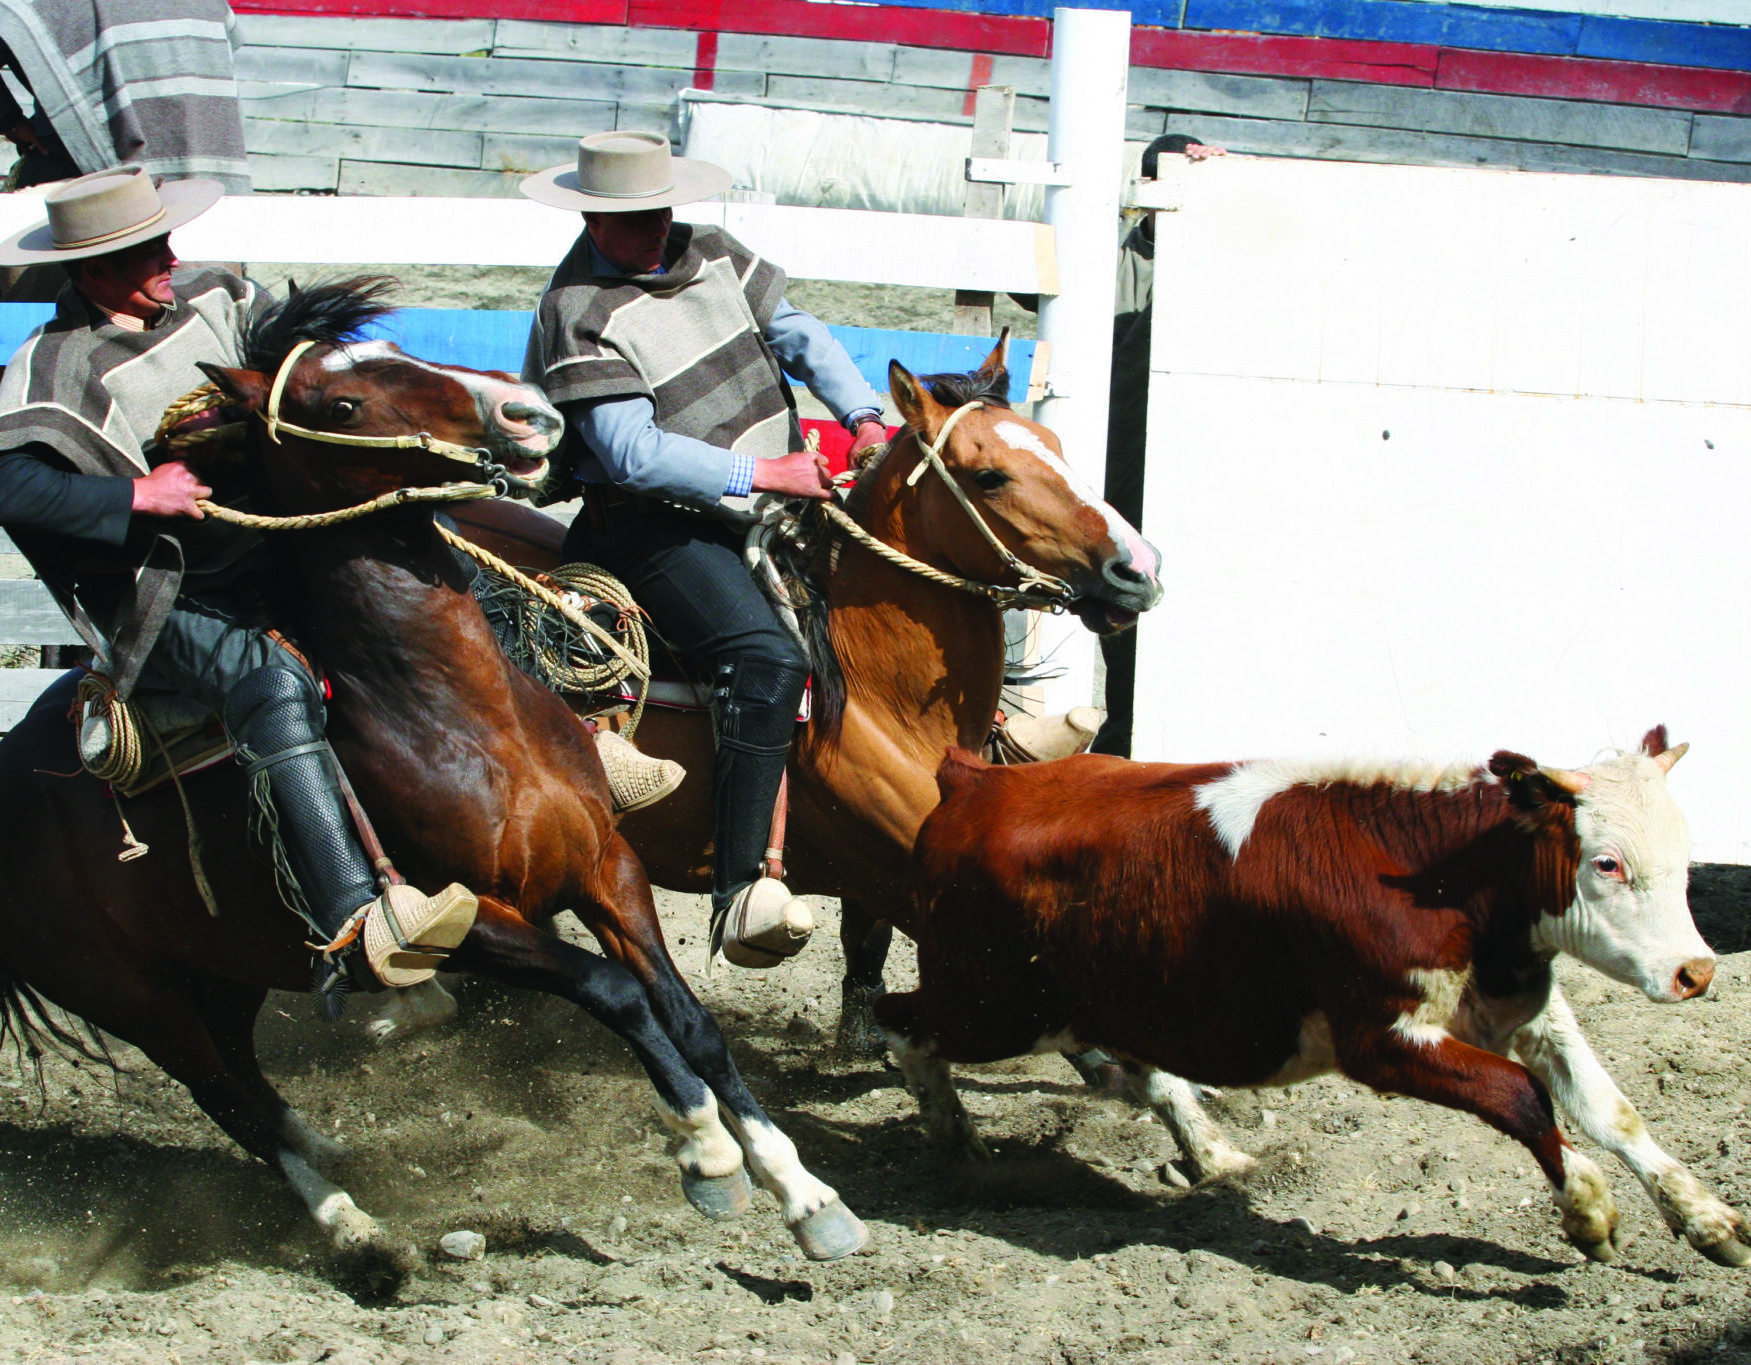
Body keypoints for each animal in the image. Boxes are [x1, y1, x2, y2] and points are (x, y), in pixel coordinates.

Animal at [0, 279, 866, 1286]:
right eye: (341, 404)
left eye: (395, 350)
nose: (526, 411)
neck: (462, 721)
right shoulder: (465, 922)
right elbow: (613, 993)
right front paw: (707, 1153)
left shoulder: (607, 868)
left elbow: (686, 1018)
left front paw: (806, 1193)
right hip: (139, 1002)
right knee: (230, 1101)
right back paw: (353, 1227)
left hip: (220, 970)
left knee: (248, 1077)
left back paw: (336, 1158)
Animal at [453, 338, 1165, 1055]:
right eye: (989, 475)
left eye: (1056, 446)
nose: (1137, 569)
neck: (878, 696)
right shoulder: (905, 872)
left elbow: (869, 952)